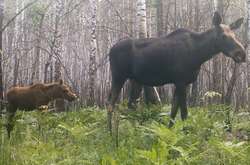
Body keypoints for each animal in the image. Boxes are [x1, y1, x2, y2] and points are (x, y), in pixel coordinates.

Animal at [108, 11, 246, 132]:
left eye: (234, 35)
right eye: (224, 36)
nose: (242, 54)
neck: (199, 54)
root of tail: (110, 50)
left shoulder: (184, 82)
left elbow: (173, 112)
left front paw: (170, 133)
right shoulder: (180, 81)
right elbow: (184, 113)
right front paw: (185, 134)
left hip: (135, 81)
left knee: (130, 106)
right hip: (118, 76)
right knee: (110, 104)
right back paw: (110, 134)